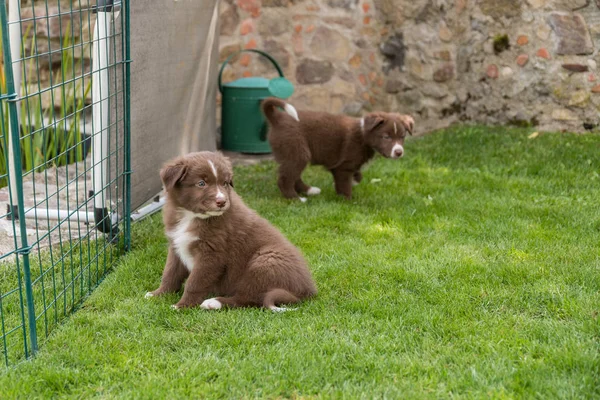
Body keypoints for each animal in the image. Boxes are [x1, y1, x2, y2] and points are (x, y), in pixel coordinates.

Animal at [145, 152, 316, 310]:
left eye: (225, 183)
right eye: (201, 183)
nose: (222, 202)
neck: (191, 216)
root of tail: (309, 291)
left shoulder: (211, 254)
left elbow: (194, 282)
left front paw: (182, 305)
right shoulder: (176, 244)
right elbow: (170, 274)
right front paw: (158, 294)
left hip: (264, 261)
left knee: (248, 299)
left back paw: (214, 302)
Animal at [264, 97, 414, 200]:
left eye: (402, 137)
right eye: (386, 137)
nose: (399, 152)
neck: (363, 135)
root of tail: (277, 117)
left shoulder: (352, 163)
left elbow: (358, 175)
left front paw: (353, 181)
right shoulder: (343, 167)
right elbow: (344, 184)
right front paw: (347, 200)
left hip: (292, 152)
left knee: (293, 175)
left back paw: (310, 190)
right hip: (296, 150)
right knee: (285, 178)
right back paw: (296, 198)